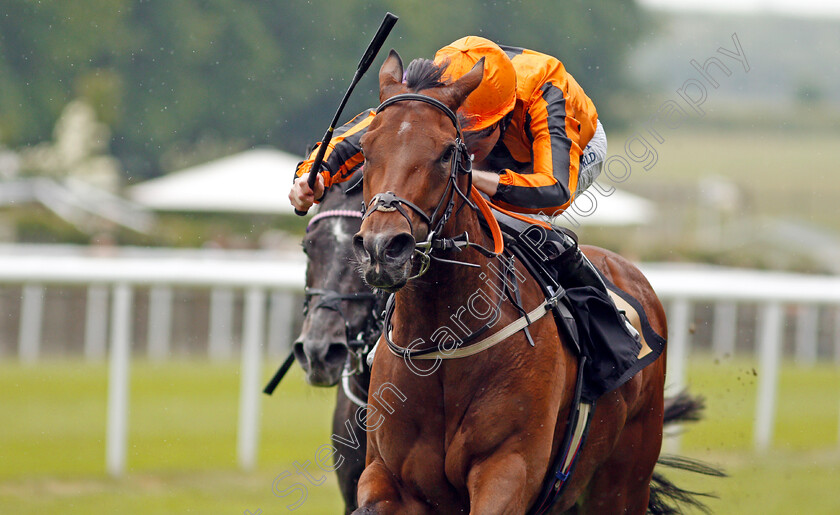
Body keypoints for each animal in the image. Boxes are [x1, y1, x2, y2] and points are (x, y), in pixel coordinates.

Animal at [348, 50, 668, 512]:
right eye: (366, 148)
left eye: (447, 152)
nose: (382, 248)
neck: (445, 342)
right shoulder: (386, 476)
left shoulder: (508, 468)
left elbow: (551, 184)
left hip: (623, 482)